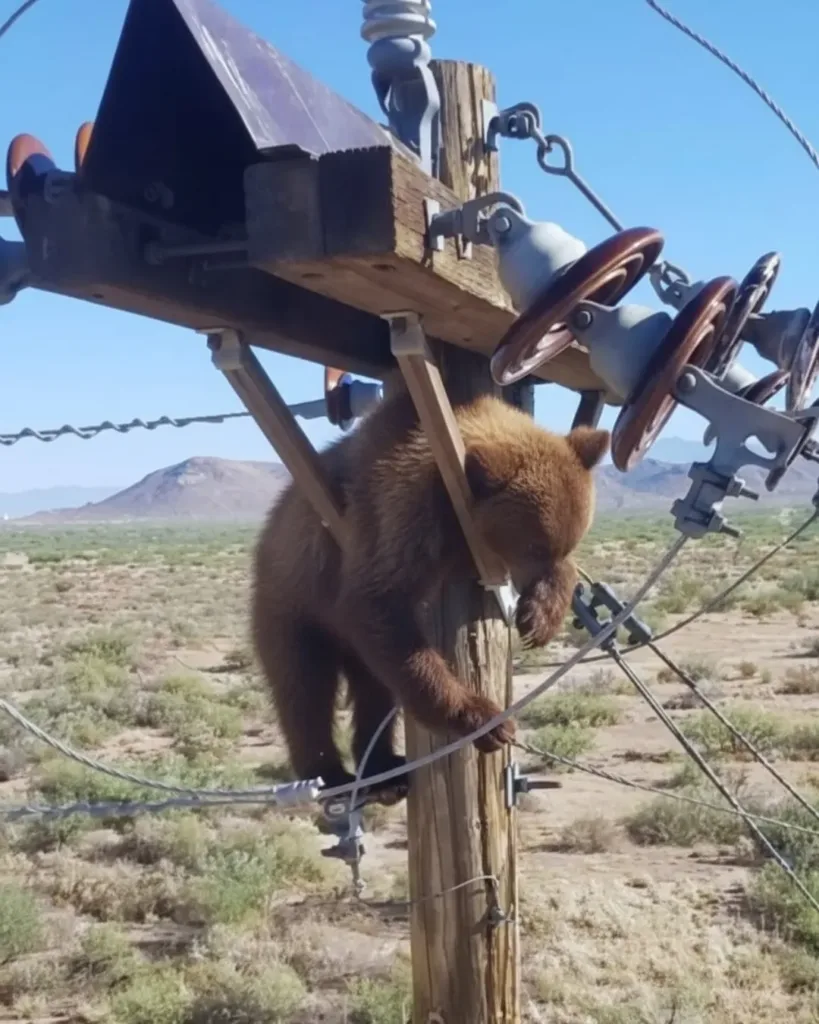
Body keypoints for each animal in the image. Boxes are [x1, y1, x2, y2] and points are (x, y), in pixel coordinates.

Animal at [251, 374, 609, 798]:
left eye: (567, 541)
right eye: (533, 545)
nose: (530, 591)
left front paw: (538, 619)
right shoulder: (404, 509)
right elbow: (378, 604)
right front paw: (486, 721)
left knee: (374, 690)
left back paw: (385, 767)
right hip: (293, 601)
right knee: (304, 689)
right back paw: (330, 774)